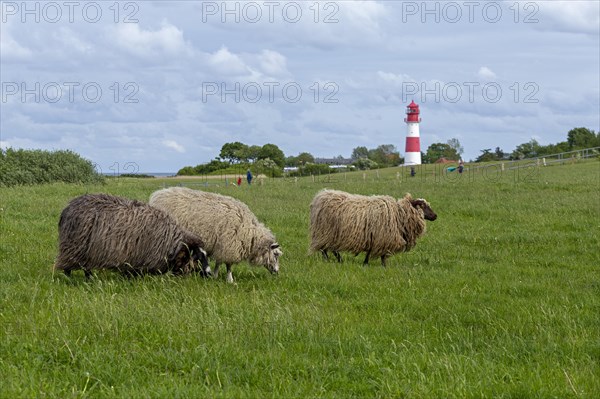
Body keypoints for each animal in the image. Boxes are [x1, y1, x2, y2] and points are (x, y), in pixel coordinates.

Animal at [54, 194, 209, 278]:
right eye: (197, 257)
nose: (209, 274)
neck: (169, 241)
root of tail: (67, 208)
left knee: (85, 267)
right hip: (74, 246)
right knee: (69, 267)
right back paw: (74, 279)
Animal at [149, 188, 282, 284]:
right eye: (275, 255)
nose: (277, 272)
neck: (249, 233)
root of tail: (156, 196)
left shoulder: (220, 246)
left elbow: (218, 262)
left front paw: (215, 275)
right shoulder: (229, 246)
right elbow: (228, 265)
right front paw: (230, 280)